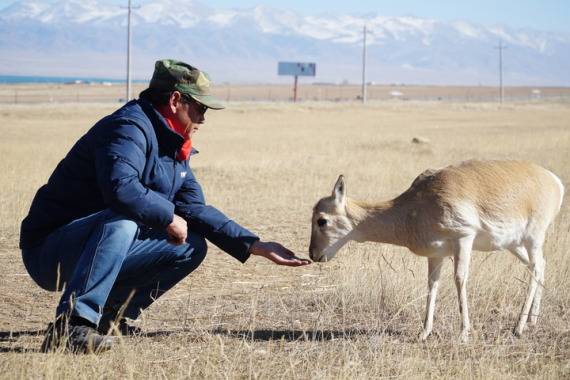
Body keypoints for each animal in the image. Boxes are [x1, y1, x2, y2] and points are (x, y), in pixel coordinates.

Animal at [310, 160, 564, 342]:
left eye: (322, 220)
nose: (313, 255)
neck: (418, 202)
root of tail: (553, 180)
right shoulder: (436, 255)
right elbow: (432, 285)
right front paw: (424, 332)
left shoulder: (463, 239)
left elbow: (460, 279)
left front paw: (463, 334)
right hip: (515, 245)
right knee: (540, 265)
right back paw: (532, 320)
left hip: (532, 239)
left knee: (535, 269)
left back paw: (518, 327)